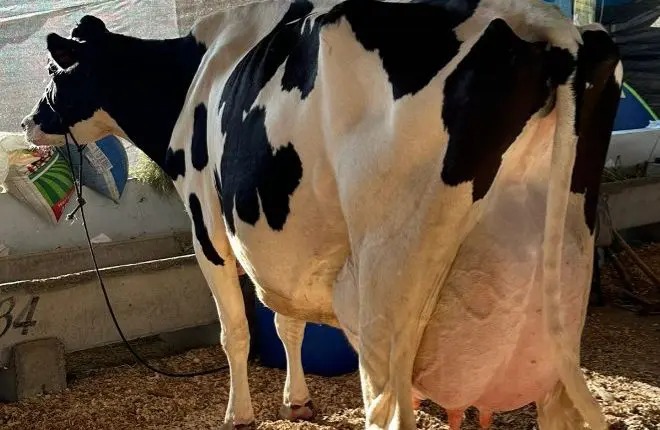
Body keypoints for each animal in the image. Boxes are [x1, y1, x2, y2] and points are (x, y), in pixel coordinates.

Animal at [21, 0, 622, 428]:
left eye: (53, 71)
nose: (27, 122)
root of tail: (542, 25)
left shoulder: (207, 230)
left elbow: (235, 331)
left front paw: (239, 414)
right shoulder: (281, 245)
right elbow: (287, 322)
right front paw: (297, 401)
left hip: (386, 287)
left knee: (387, 410)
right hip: (561, 290)